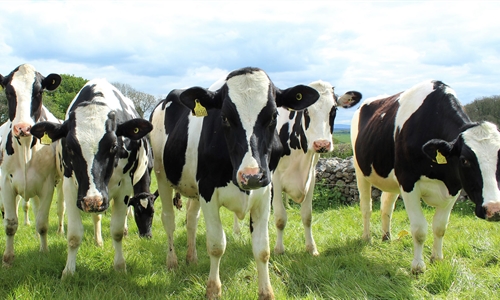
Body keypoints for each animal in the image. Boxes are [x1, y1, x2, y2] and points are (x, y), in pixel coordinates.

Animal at [0, 63, 63, 268]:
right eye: (9, 92)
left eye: (39, 91)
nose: (23, 128)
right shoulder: (6, 183)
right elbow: (10, 223)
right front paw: (8, 259)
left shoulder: (47, 185)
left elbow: (42, 222)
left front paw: (44, 251)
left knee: (58, 209)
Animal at [30, 78, 151, 276]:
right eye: (70, 147)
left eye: (113, 146)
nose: (92, 200)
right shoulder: (71, 187)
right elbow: (74, 235)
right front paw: (68, 271)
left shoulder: (125, 187)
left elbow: (117, 231)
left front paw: (120, 266)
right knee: (96, 217)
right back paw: (97, 240)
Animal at [149, 67, 320, 298]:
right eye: (224, 118)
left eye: (273, 116)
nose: (251, 176)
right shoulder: (208, 191)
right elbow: (216, 245)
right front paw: (213, 290)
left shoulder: (265, 192)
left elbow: (262, 249)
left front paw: (266, 292)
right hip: (161, 175)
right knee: (169, 220)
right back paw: (172, 262)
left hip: (192, 187)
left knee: (191, 219)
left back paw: (191, 258)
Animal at [272, 81, 362, 256]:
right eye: (306, 110)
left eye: (334, 110)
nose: (322, 144)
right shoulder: (276, 178)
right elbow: (280, 218)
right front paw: (279, 249)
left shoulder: (312, 177)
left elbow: (307, 216)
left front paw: (311, 248)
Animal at [350, 79, 500, 274]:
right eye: (465, 160)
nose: (494, 209)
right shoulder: (408, 182)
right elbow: (419, 229)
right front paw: (418, 267)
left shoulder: (454, 187)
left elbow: (440, 227)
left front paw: (437, 258)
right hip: (361, 171)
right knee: (366, 207)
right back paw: (367, 237)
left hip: (392, 179)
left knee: (386, 206)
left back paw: (386, 236)